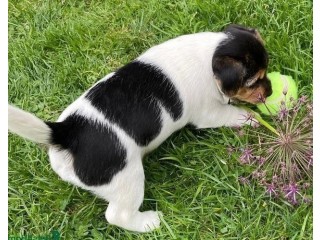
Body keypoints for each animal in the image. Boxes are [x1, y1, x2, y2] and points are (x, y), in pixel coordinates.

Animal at [8, 24, 270, 232]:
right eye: (253, 81)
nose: (269, 92)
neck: (210, 55)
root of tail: (66, 133)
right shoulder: (209, 113)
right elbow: (235, 113)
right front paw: (255, 118)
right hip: (127, 179)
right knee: (117, 215)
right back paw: (150, 222)